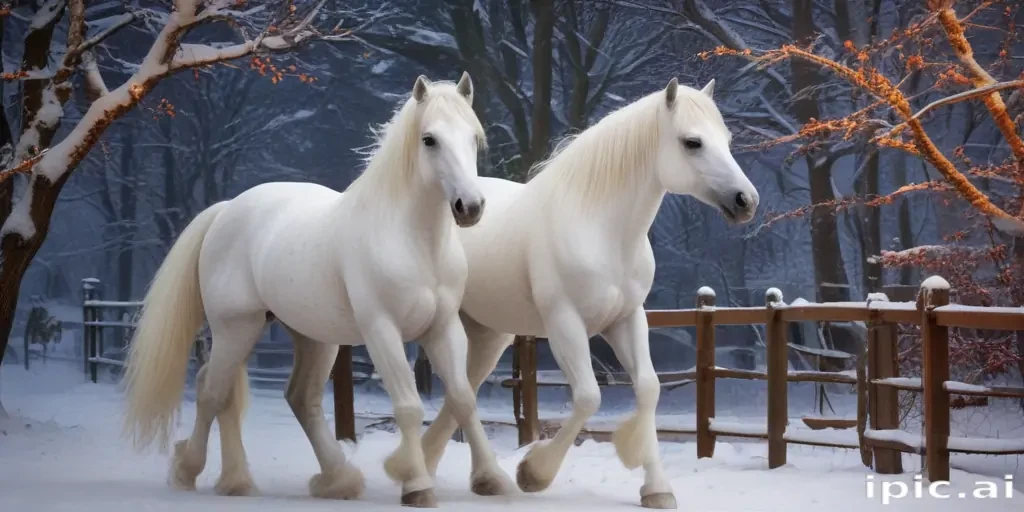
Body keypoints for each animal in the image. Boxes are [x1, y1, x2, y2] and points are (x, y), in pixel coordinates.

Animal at [120, 72, 515, 508]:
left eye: (473, 138)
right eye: (429, 139)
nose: (470, 207)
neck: (411, 241)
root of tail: (226, 210)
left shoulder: (442, 328)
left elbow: (463, 398)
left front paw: (492, 479)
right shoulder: (382, 330)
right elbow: (409, 406)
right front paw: (416, 486)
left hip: (311, 337)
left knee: (296, 397)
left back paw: (328, 480)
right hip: (236, 327)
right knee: (213, 390)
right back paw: (194, 471)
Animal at [411, 78, 759, 509]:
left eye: (726, 140)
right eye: (692, 142)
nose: (746, 201)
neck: (600, 228)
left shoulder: (627, 319)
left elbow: (648, 389)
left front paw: (657, 489)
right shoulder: (565, 324)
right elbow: (589, 397)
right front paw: (533, 473)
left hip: (487, 333)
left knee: (462, 390)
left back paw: (445, 468)